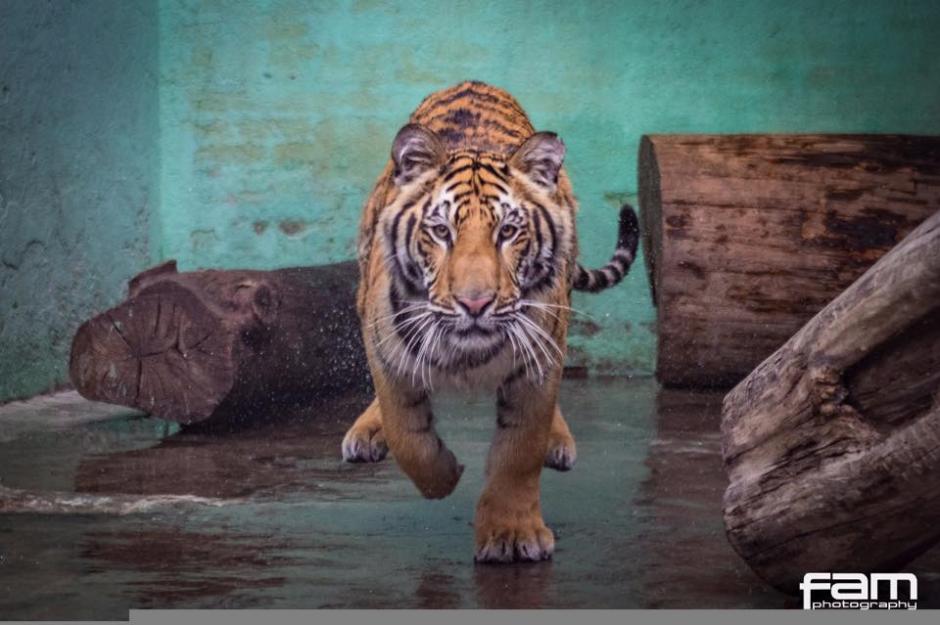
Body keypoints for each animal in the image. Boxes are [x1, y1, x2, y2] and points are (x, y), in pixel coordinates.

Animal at [341, 81, 639, 563]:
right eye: (441, 232)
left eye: (509, 232)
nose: (475, 303)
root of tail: (475, 83)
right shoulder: (385, 348)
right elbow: (406, 433)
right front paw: (444, 475)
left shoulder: (537, 364)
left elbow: (520, 451)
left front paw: (512, 535)